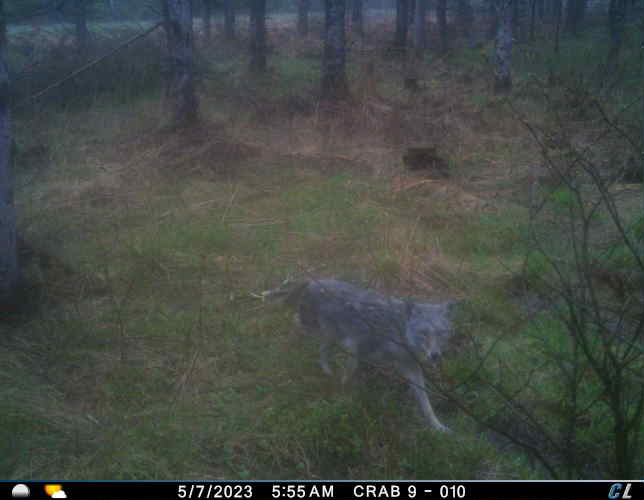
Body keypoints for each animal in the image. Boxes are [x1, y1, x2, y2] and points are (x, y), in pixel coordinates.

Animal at [262, 278, 457, 432]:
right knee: (295, 323)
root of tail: (313, 281)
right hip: (317, 330)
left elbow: (426, 404)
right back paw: (290, 348)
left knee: (321, 351)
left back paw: (327, 371)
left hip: (330, 338)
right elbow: (349, 375)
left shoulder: (410, 367)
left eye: (441, 333)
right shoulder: (356, 348)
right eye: (423, 333)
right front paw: (345, 397)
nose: (435, 355)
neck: (396, 331)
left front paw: (438, 427)